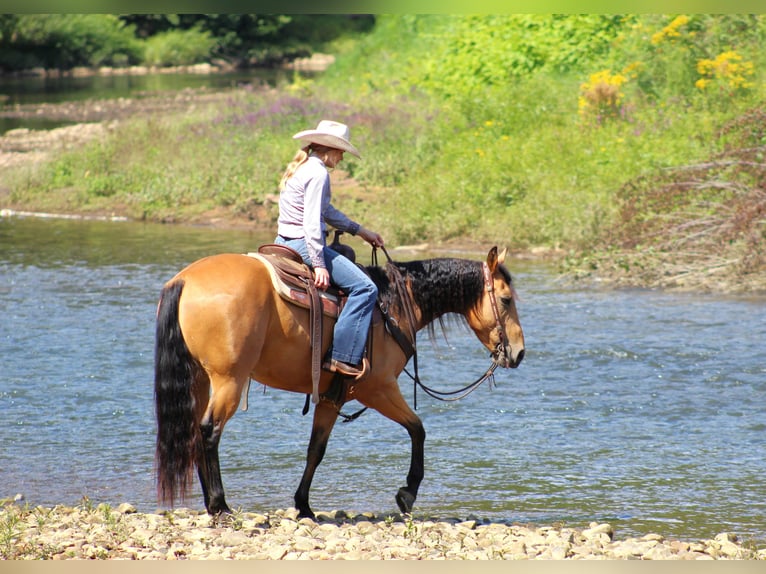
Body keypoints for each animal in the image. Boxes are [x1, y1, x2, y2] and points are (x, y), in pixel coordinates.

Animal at [156, 245, 528, 520]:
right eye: (506, 299)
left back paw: (212, 504)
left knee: (194, 433)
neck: (393, 305)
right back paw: (220, 505)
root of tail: (184, 281)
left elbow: (315, 450)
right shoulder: (377, 388)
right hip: (229, 380)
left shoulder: (331, 397)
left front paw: (303, 506)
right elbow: (418, 429)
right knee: (209, 431)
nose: (520, 353)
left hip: (201, 379)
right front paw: (407, 493)